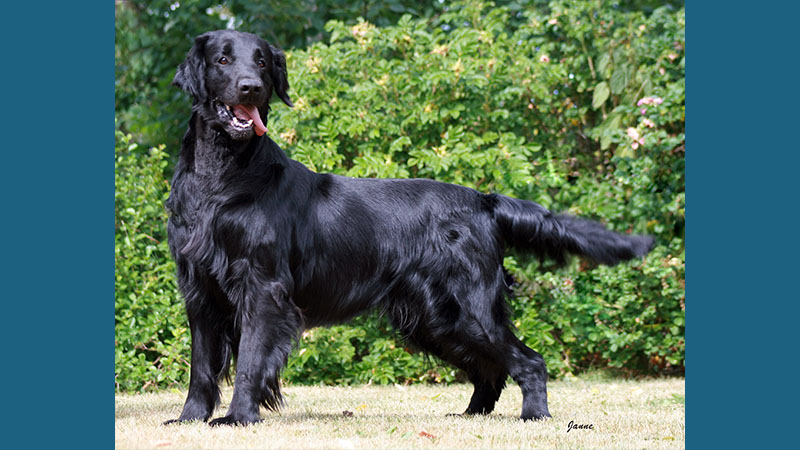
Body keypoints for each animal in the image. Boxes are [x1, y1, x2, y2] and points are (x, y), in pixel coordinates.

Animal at [166, 29, 652, 426]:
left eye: (263, 62)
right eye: (223, 60)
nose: (251, 86)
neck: (223, 177)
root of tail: (483, 199)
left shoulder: (263, 285)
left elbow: (250, 359)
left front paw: (237, 418)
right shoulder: (199, 288)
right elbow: (201, 366)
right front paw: (189, 418)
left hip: (469, 307)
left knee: (528, 361)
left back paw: (533, 415)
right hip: (436, 317)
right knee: (491, 368)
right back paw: (471, 414)